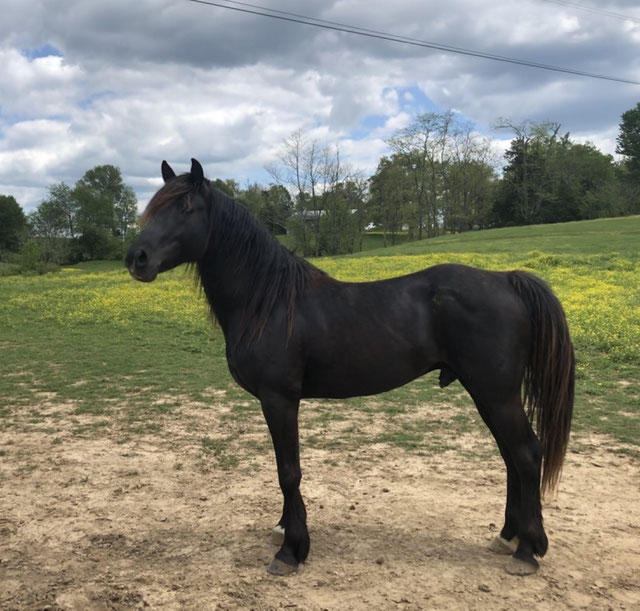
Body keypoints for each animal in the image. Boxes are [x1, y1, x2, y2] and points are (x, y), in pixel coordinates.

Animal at [125, 159, 574, 577]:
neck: (268, 302)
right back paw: (508, 536)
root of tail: (506, 279)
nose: (136, 259)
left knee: (526, 454)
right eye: (154, 207)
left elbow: (289, 471)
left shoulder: (280, 399)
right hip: (487, 394)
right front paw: (283, 528)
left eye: (186, 207)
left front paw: (291, 550)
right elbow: (284, 470)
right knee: (511, 457)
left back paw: (527, 550)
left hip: (496, 393)